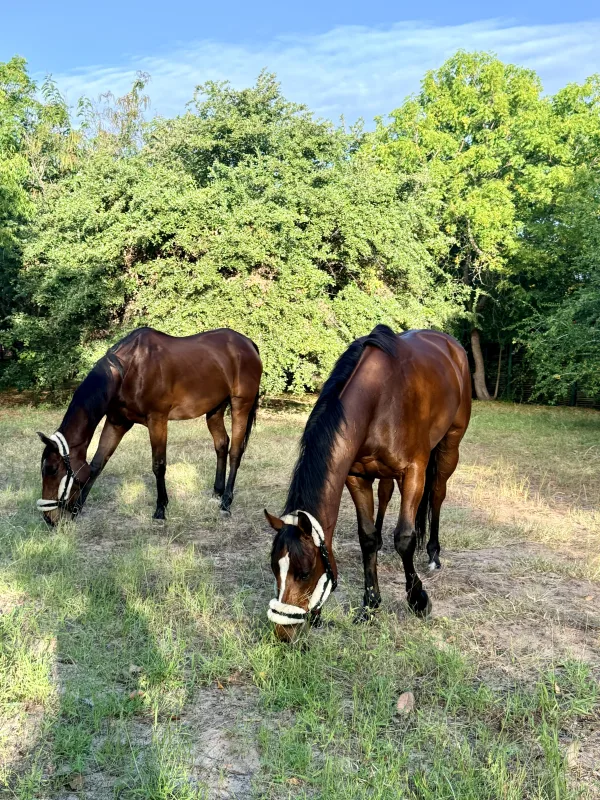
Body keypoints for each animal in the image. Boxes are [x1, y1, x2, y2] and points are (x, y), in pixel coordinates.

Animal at [37, 327, 262, 524]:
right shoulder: (116, 423)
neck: (128, 370)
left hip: (240, 405)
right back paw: (217, 492)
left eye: (53, 469)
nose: (49, 519)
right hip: (215, 409)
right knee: (222, 444)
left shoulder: (157, 421)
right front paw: (78, 508)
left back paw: (226, 502)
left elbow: (158, 465)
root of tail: (248, 343)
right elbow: (97, 464)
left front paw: (160, 510)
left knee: (235, 451)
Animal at [264, 324, 471, 641]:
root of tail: (450, 345)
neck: (379, 399)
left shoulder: (414, 471)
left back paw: (434, 554)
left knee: (437, 495)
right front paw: (371, 604)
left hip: (450, 444)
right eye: (274, 568)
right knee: (386, 495)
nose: (283, 633)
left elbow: (405, 538)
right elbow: (368, 537)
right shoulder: (357, 477)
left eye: (304, 572)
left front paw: (418, 600)